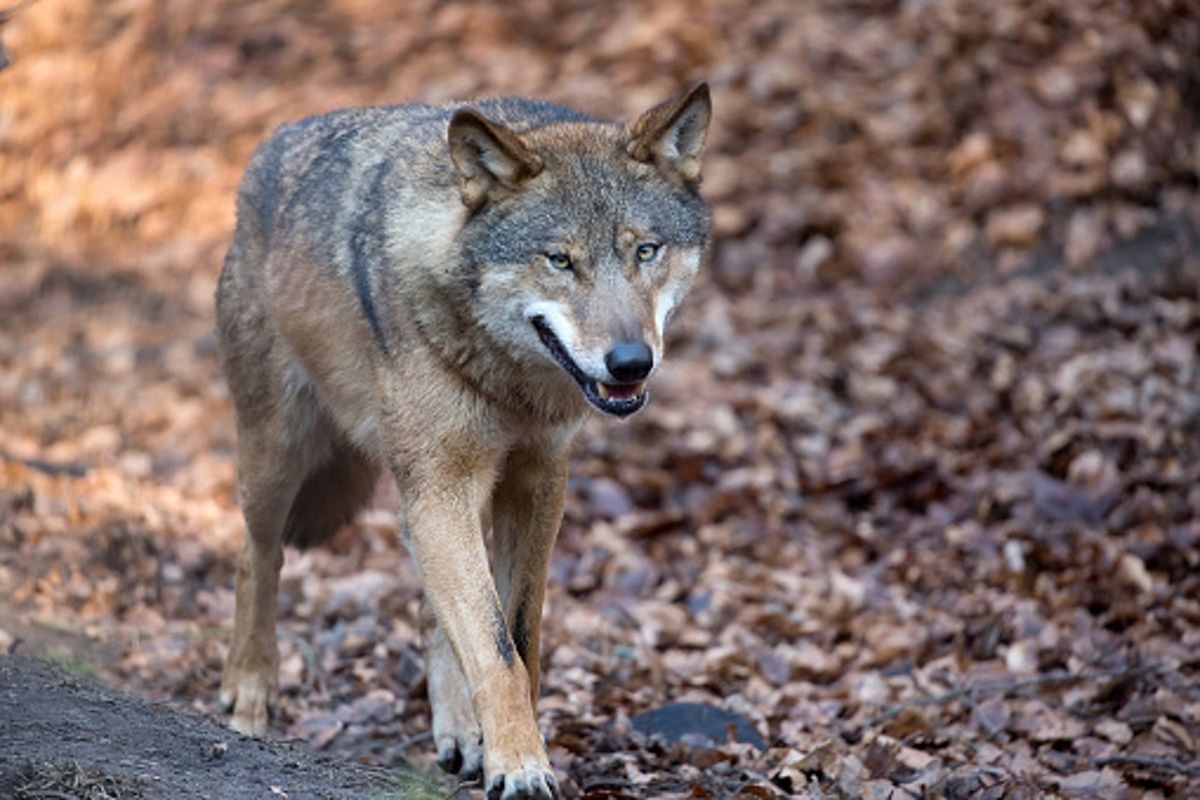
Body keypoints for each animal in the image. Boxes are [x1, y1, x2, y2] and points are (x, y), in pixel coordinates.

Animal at [216, 82, 710, 800]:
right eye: (559, 260)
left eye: (644, 251)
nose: (629, 363)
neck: (510, 381)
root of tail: (269, 146)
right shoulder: (442, 485)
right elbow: (494, 648)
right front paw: (522, 767)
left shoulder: (536, 482)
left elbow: (516, 637)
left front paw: (502, 748)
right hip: (279, 461)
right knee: (259, 557)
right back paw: (249, 695)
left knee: (429, 611)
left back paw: (458, 733)